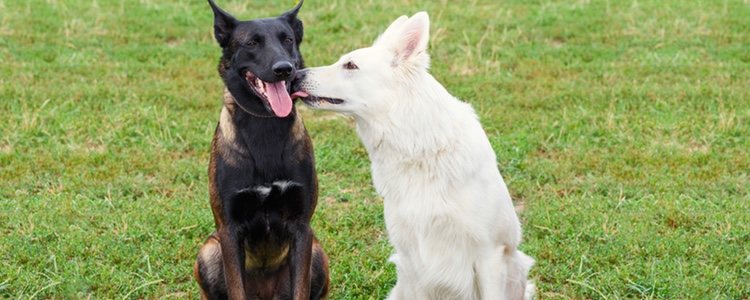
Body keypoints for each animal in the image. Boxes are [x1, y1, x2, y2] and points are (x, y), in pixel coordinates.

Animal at [195, 1, 330, 298]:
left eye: (287, 40)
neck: (265, 124)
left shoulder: (302, 229)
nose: (284, 69)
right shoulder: (229, 231)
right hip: (209, 251)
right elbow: (236, 289)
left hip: (317, 252)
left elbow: (301, 290)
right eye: (252, 43)